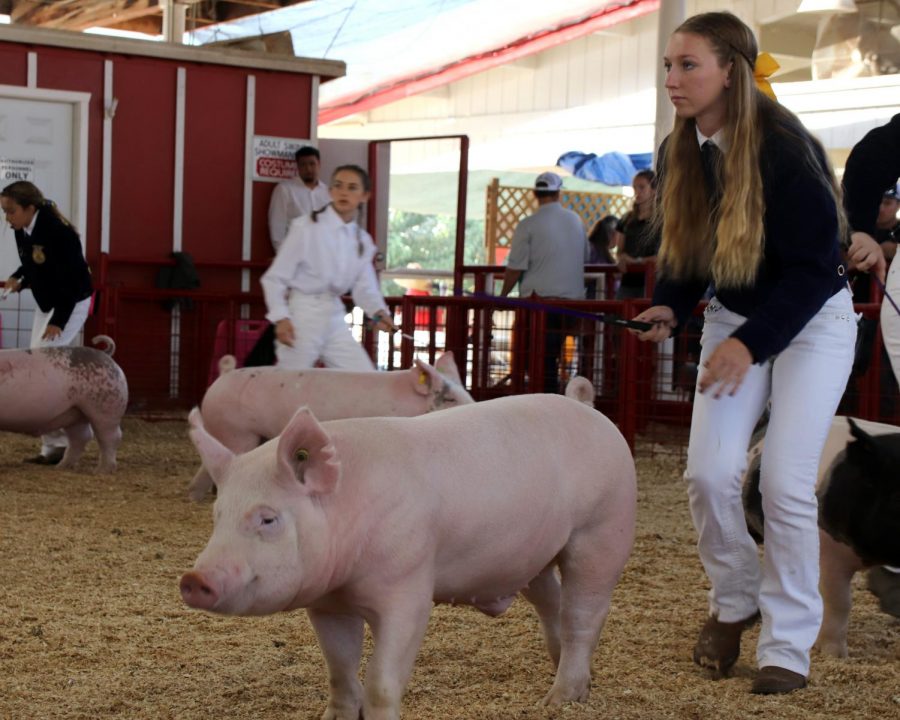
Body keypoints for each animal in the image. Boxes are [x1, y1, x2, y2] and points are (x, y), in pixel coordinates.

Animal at [0, 336, 127, 472]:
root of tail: (105, 354)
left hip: (105, 408)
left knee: (110, 437)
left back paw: (101, 470)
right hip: (75, 413)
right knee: (81, 437)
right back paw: (62, 466)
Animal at [181, 394, 632, 720]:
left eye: (268, 518)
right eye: (217, 516)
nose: (193, 579)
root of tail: (600, 419)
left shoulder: (408, 587)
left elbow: (381, 681)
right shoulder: (326, 604)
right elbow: (339, 670)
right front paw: (335, 716)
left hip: (602, 529)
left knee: (583, 614)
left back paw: (559, 700)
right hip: (532, 555)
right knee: (551, 601)